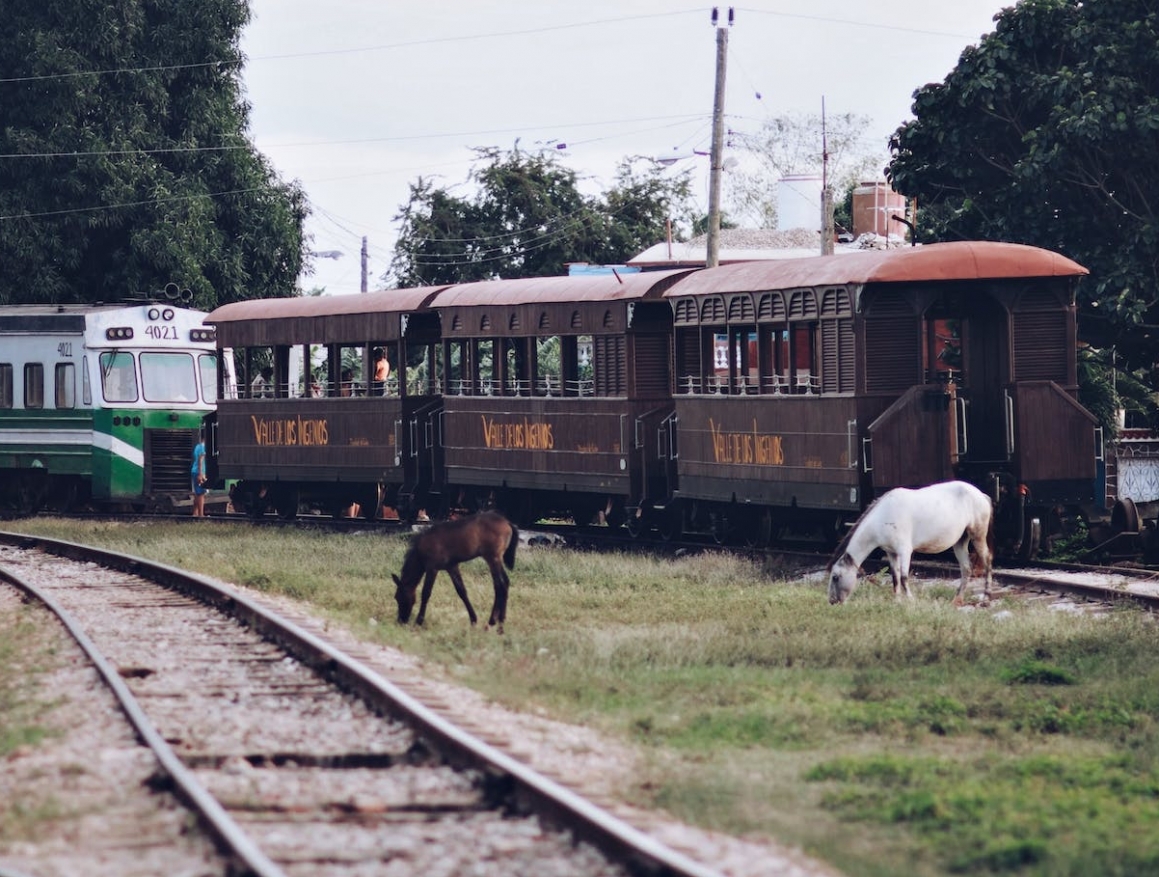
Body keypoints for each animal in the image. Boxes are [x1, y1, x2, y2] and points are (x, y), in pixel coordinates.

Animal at [391, 509, 519, 634]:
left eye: (399, 597)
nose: (401, 620)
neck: (422, 548)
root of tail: (507, 522)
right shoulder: (452, 567)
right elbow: (462, 591)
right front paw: (473, 620)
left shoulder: (432, 568)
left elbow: (426, 593)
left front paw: (419, 621)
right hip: (495, 559)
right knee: (504, 583)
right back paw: (497, 623)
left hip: (493, 558)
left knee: (500, 585)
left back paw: (496, 623)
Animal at [825, 481, 996, 607]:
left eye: (835, 577)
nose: (832, 601)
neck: (883, 515)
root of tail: (981, 495)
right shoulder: (891, 553)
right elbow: (895, 577)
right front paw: (897, 601)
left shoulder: (905, 551)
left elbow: (904, 578)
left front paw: (911, 600)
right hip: (960, 541)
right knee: (966, 568)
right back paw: (957, 600)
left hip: (977, 535)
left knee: (987, 560)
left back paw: (986, 598)